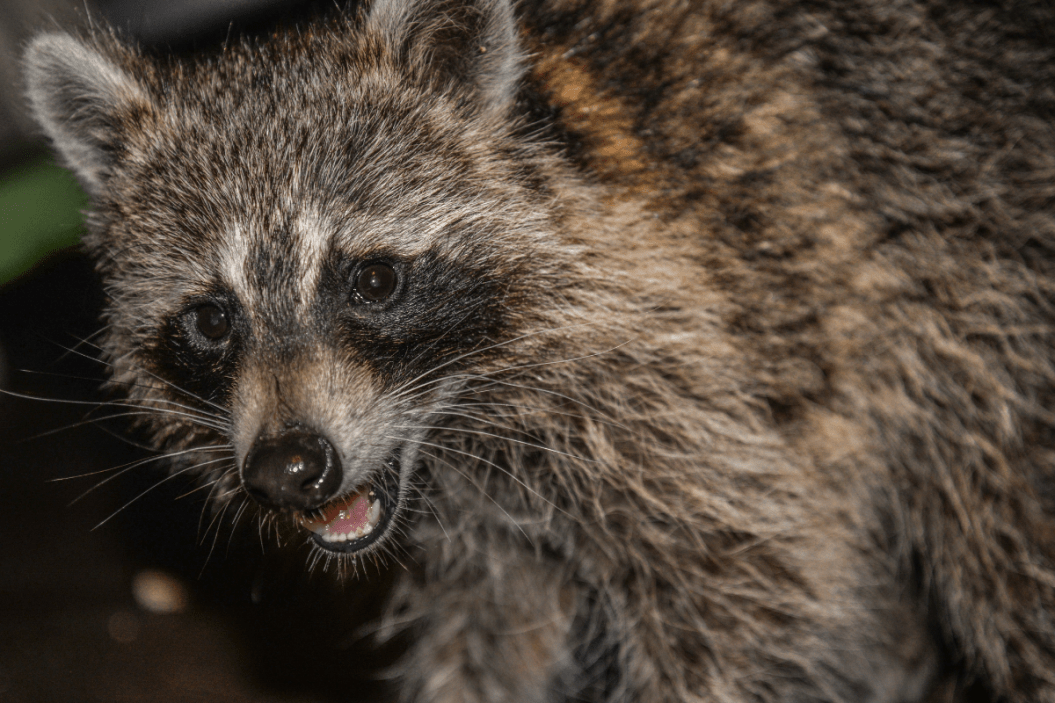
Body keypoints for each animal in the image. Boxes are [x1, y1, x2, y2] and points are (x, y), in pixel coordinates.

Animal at [22, 0, 1055, 701]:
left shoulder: (676, 384)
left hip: (978, 302)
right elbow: (485, 641)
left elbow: (745, 587)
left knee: (1006, 540)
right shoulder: (485, 545)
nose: (289, 466)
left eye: (371, 280)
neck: (454, 428)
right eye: (211, 319)